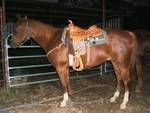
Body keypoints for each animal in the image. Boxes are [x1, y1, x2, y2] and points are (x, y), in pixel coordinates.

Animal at [9, 16, 141, 109]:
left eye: (17, 29)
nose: (11, 44)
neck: (53, 39)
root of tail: (129, 33)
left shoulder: (60, 68)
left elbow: (63, 84)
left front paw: (63, 102)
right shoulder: (65, 67)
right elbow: (67, 82)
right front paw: (70, 97)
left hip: (122, 64)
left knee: (126, 80)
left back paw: (124, 103)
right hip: (115, 63)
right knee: (118, 78)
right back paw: (114, 97)